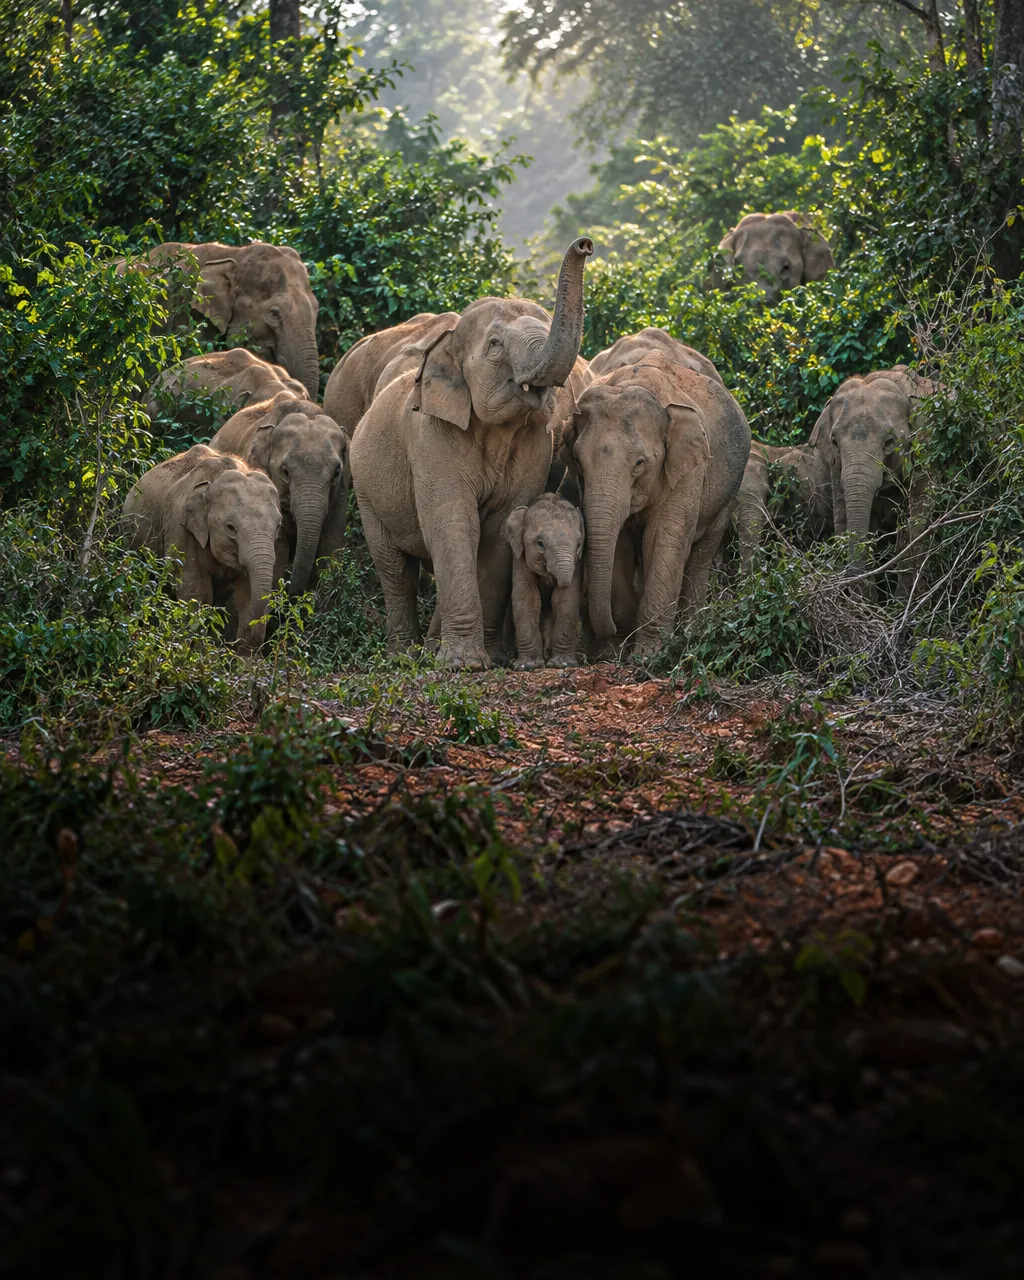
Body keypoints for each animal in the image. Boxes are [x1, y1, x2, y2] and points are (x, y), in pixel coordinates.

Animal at [122, 445, 283, 654]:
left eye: (278, 526)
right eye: (230, 527)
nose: (252, 638)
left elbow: (246, 594)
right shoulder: (180, 528)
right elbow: (194, 591)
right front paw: (197, 652)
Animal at [208, 392, 349, 597]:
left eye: (336, 472)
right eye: (285, 472)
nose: (294, 593)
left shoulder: (341, 490)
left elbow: (332, 539)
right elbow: (278, 545)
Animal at [505, 493, 585, 670]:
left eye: (578, 544)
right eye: (540, 544)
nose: (555, 581)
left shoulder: (577, 562)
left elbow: (565, 598)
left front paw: (562, 664)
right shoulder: (519, 557)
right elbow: (527, 595)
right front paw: (527, 666)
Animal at [565, 348, 751, 655]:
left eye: (640, 463)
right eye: (577, 460)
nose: (613, 630)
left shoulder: (690, 468)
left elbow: (664, 537)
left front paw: (647, 654)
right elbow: (620, 543)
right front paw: (618, 648)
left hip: (728, 491)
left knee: (701, 555)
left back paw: (691, 633)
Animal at [806, 366, 939, 594]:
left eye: (889, 442)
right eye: (835, 442)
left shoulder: (927, 450)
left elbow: (919, 516)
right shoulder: (835, 466)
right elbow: (844, 521)